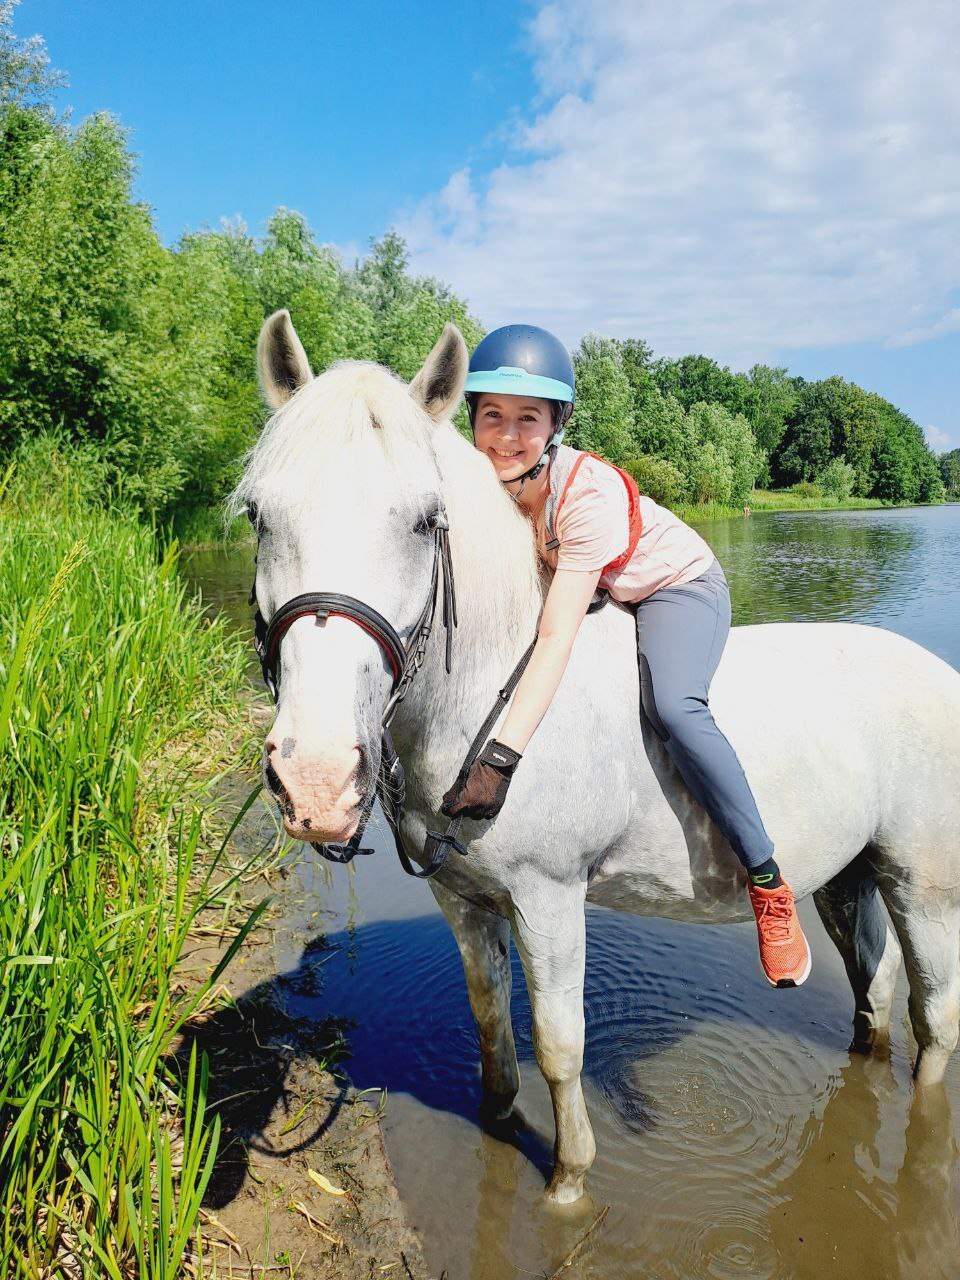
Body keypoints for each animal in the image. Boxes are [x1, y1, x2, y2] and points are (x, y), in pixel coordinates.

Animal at [232, 314, 960, 1203]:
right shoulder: (465, 901)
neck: (494, 707)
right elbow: (490, 1022)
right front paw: (498, 1123)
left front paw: (568, 1183)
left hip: (923, 886)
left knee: (935, 1020)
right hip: (849, 873)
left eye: (426, 522)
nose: (316, 778)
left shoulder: (549, 898)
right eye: (261, 514)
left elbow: (558, 1044)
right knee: (875, 991)